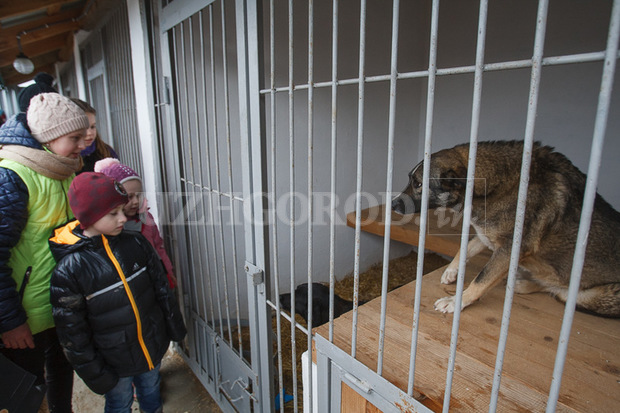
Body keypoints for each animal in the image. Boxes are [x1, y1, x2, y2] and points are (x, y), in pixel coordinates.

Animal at [392, 140, 620, 318]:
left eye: (418, 184)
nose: (393, 204)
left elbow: (481, 279)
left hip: (597, 296)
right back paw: (521, 283)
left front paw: (457, 301)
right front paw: (451, 271)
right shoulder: (486, 233)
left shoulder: (510, 248)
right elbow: (466, 249)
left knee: (561, 291)